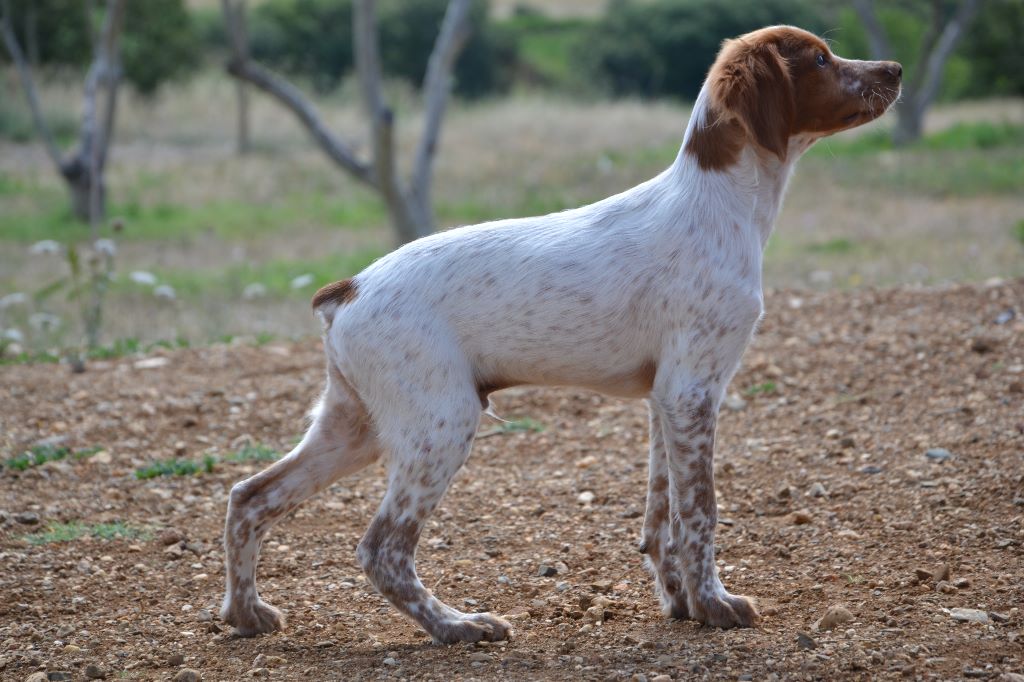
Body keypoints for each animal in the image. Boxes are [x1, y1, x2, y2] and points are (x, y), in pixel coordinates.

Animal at [220, 22, 901, 638]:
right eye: (821, 57)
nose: (894, 69)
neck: (719, 203)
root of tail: (349, 289)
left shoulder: (666, 398)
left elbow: (662, 521)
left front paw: (680, 604)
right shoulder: (693, 390)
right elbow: (700, 514)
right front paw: (715, 605)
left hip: (356, 424)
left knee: (250, 496)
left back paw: (246, 614)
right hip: (440, 423)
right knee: (381, 548)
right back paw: (457, 625)